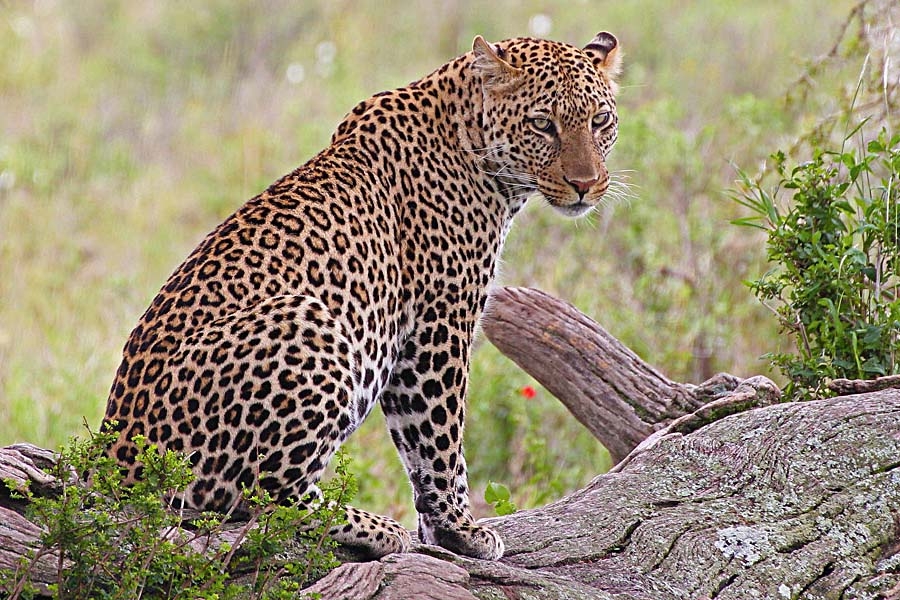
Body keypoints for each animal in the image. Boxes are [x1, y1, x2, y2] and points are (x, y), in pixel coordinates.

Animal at [102, 31, 622, 561]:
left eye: (600, 120)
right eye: (542, 124)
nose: (586, 184)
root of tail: (110, 458)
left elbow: (417, 440)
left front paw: (441, 531)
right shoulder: (439, 324)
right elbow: (441, 437)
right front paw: (462, 530)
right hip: (308, 321)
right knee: (257, 493)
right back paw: (374, 526)